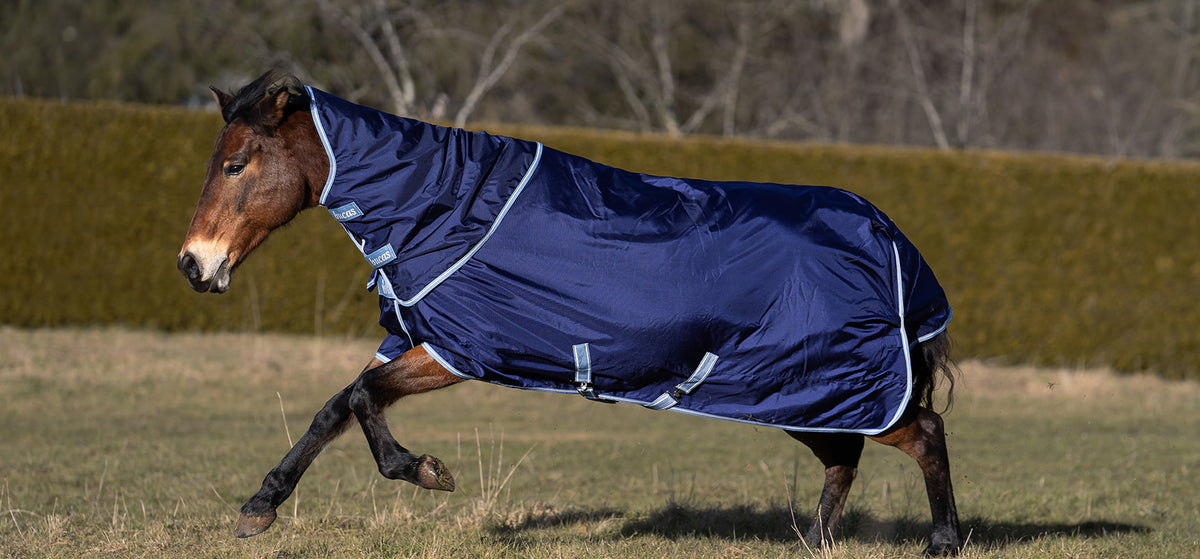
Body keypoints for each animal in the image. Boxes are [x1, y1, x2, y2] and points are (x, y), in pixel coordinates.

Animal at [178, 70, 963, 556]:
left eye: (237, 164)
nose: (194, 264)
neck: (446, 207)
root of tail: (888, 237)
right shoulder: (416, 339)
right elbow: (334, 408)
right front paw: (260, 506)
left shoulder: (459, 350)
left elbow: (364, 398)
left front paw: (427, 471)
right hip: (797, 391)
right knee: (845, 455)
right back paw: (816, 541)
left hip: (826, 385)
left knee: (923, 432)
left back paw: (943, 540)